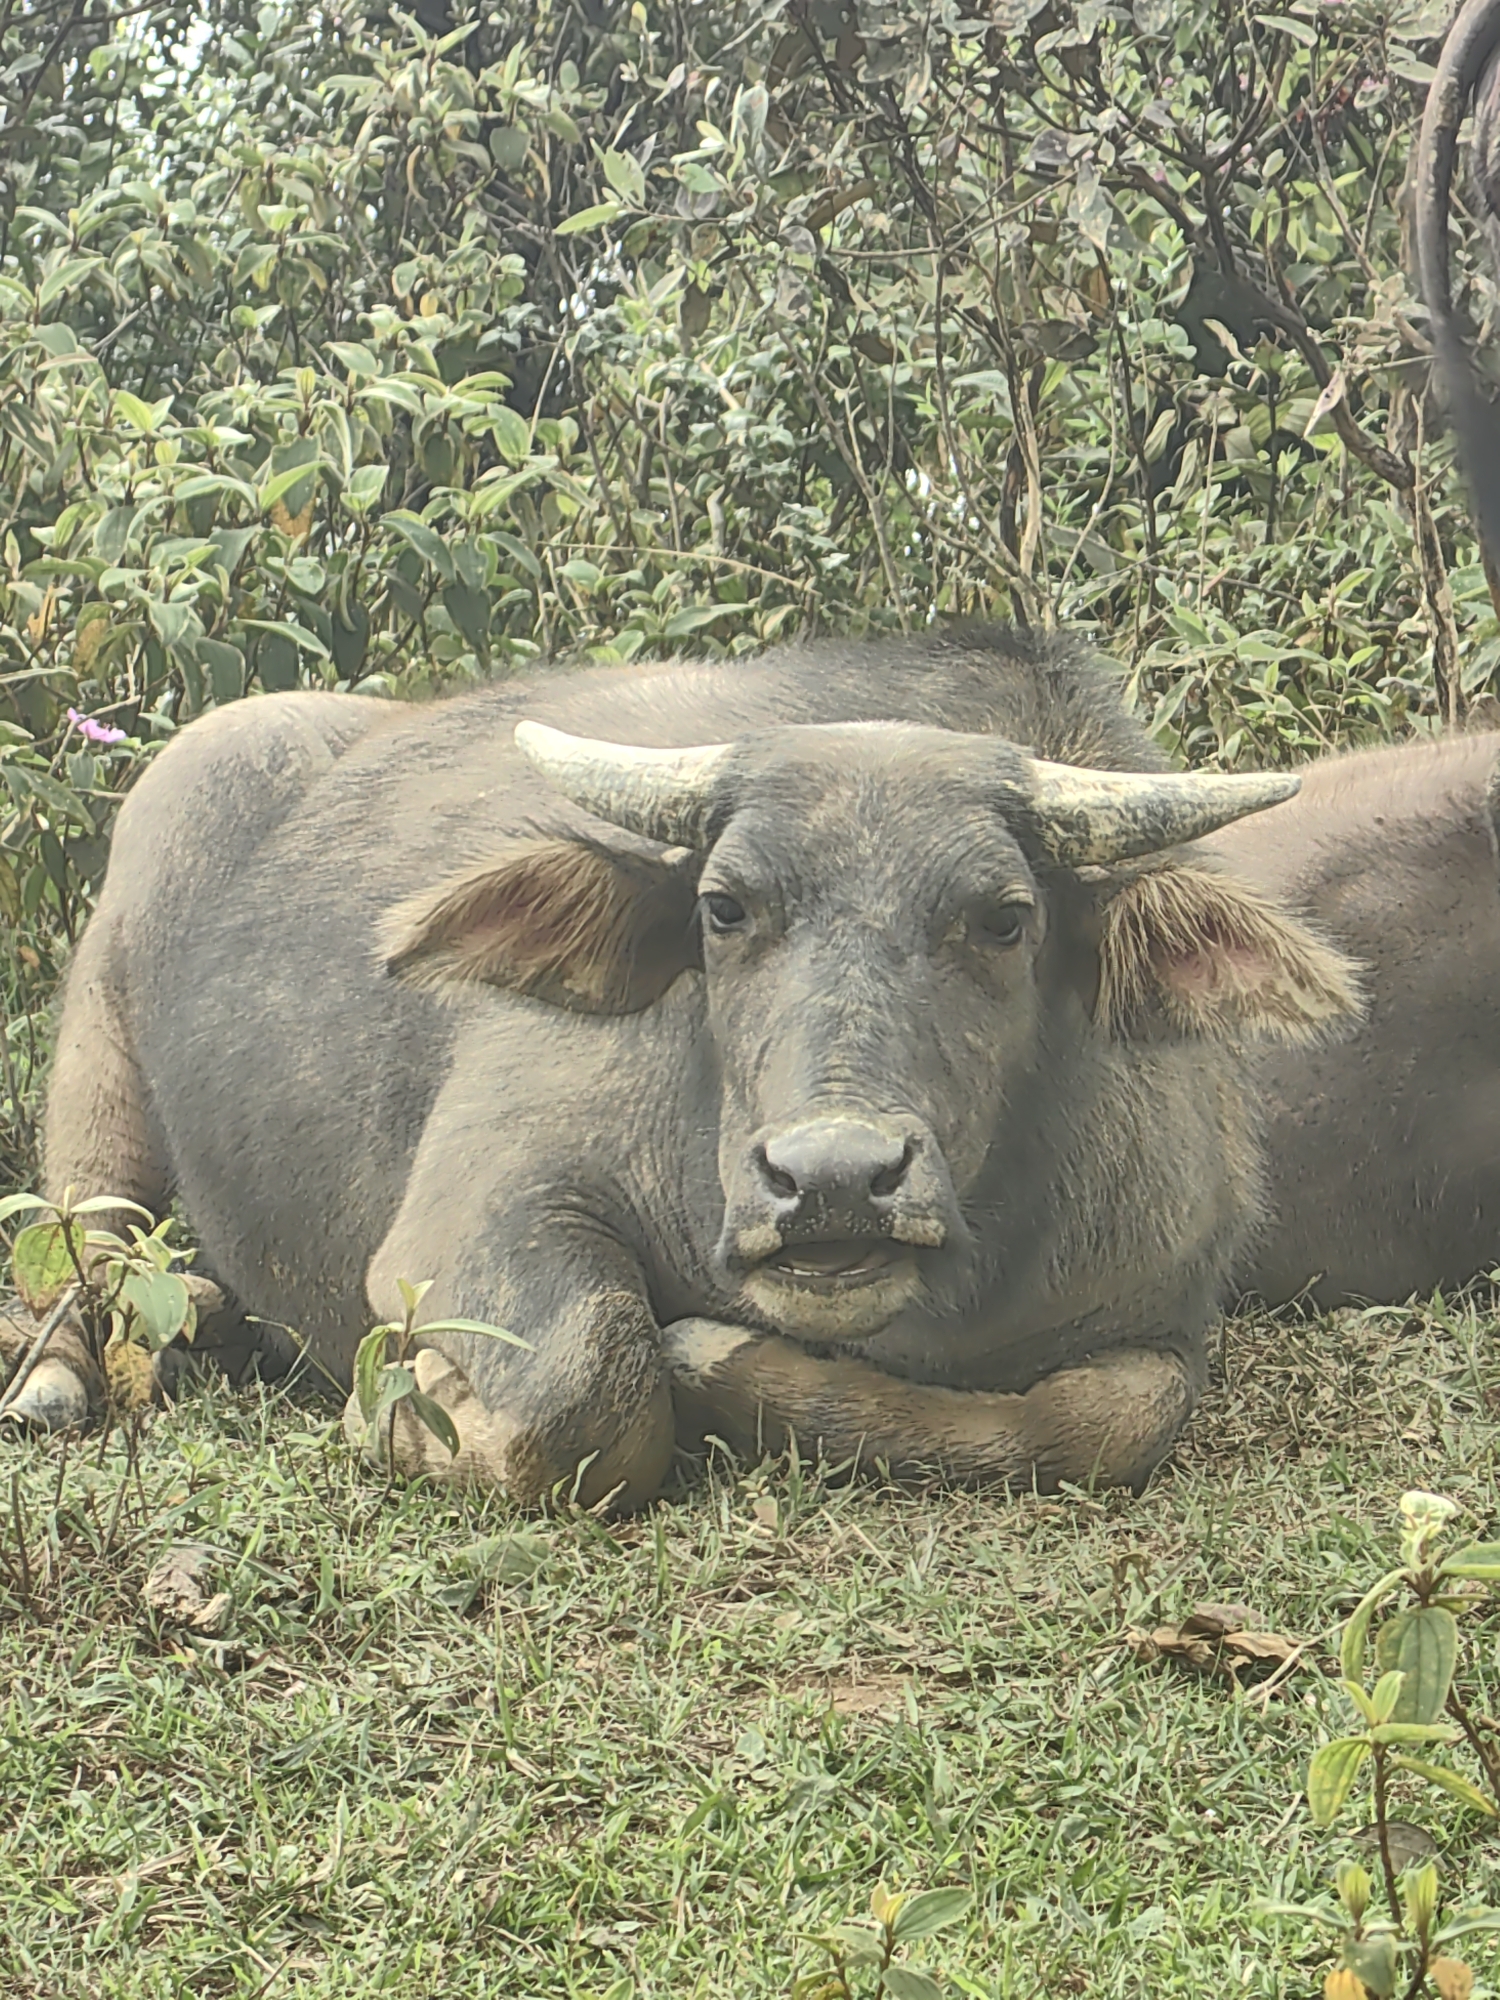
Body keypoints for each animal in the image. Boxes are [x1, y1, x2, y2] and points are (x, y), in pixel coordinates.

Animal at [11, 629, 1365, 1504]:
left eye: (1004, 917)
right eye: (723, 906)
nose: (832, 1181)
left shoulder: (1163, 1301)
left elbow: (1111, 1421)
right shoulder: (466, 1220)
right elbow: (591, 1386)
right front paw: (402, 1417)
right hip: (98, 1062)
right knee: (83, 1240)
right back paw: (58, 1382)